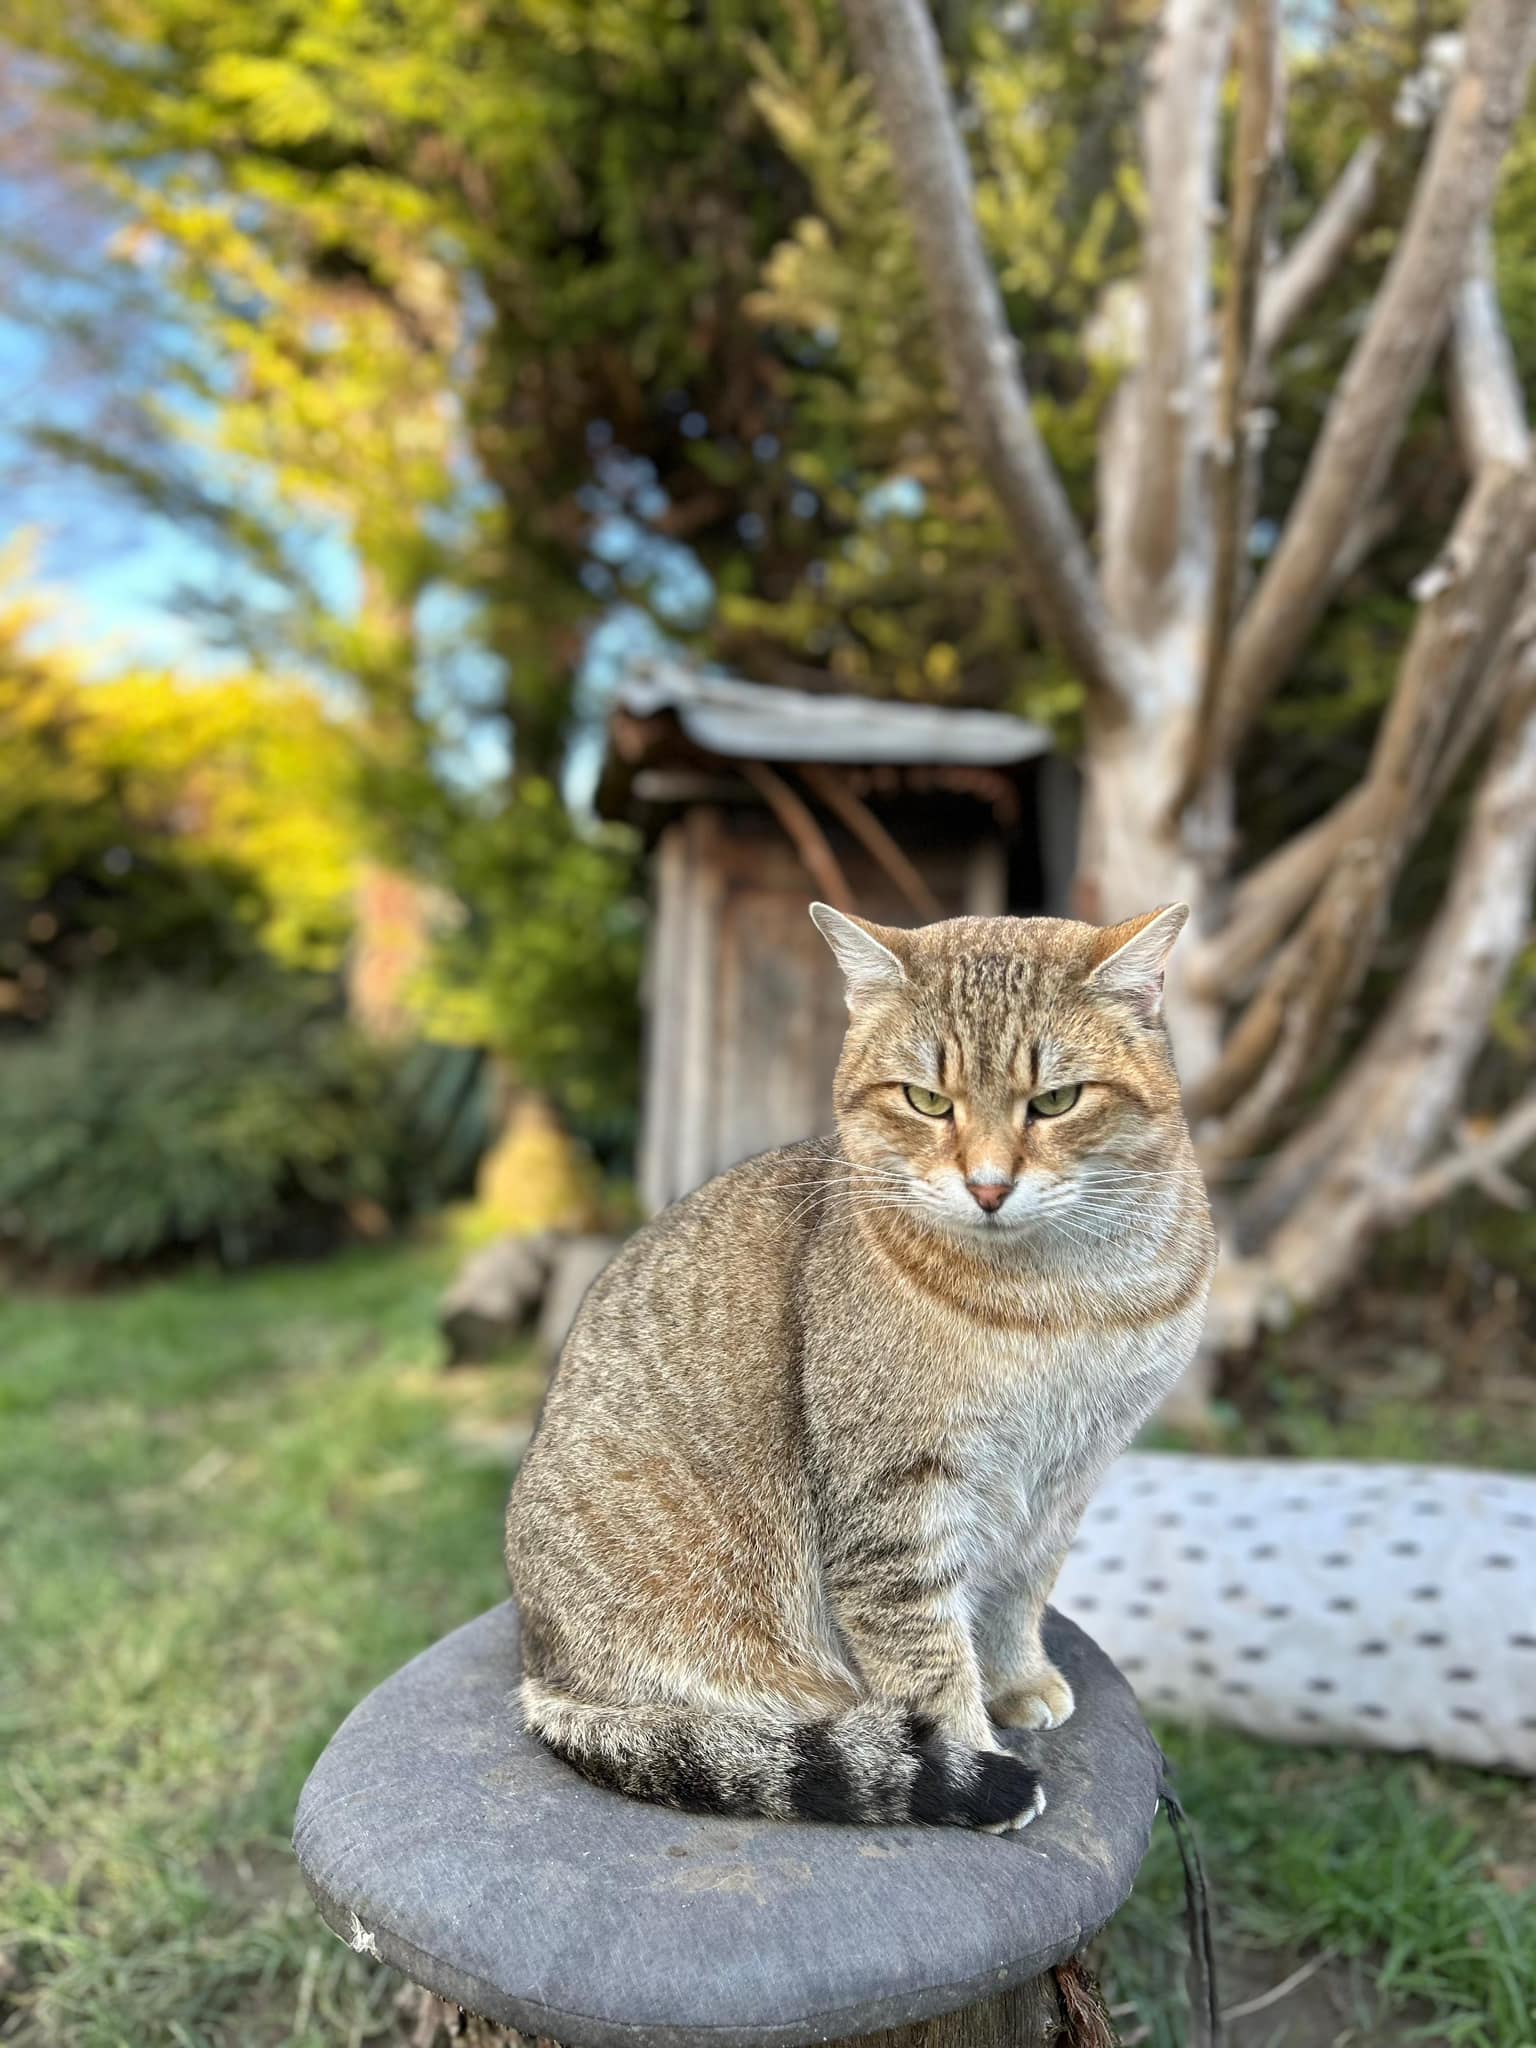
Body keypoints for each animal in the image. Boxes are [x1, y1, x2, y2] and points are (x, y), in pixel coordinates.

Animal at [505, 902, 1215, 1832]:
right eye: (927, 1100)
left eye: (1056, 1100)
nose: (989, 1187)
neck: (1056, 1300)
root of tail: (541, 1673)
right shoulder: (895, 1500)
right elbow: (927, 1656)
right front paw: (974, 1757)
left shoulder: (1066, 1478)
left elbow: (1020, 1592)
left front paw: (1018, 1678)